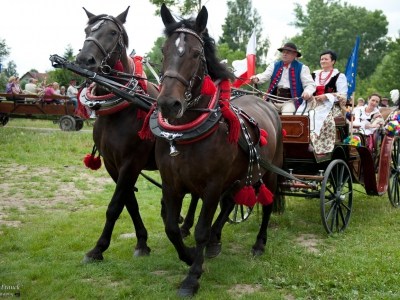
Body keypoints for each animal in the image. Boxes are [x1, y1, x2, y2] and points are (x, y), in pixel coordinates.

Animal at [74, 5, 198, 262]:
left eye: (112, 32)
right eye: (87, 30)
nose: (84, 60)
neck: (120, 110)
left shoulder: (131, 162)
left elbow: (115, 206)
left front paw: (98, 248)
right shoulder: (113, 164)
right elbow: (128, 203)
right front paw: (142, 241)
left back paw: (185, 225)